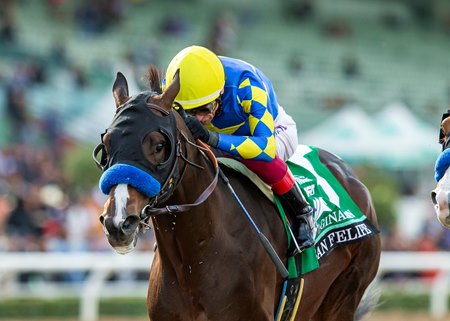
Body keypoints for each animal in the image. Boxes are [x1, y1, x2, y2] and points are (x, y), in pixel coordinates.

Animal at [94, 65, 380, 320]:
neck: (193, 258)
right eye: (106, 145)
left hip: (343, 296)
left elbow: (263, 144)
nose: (118, 222)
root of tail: (349, 174)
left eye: (159, 146)